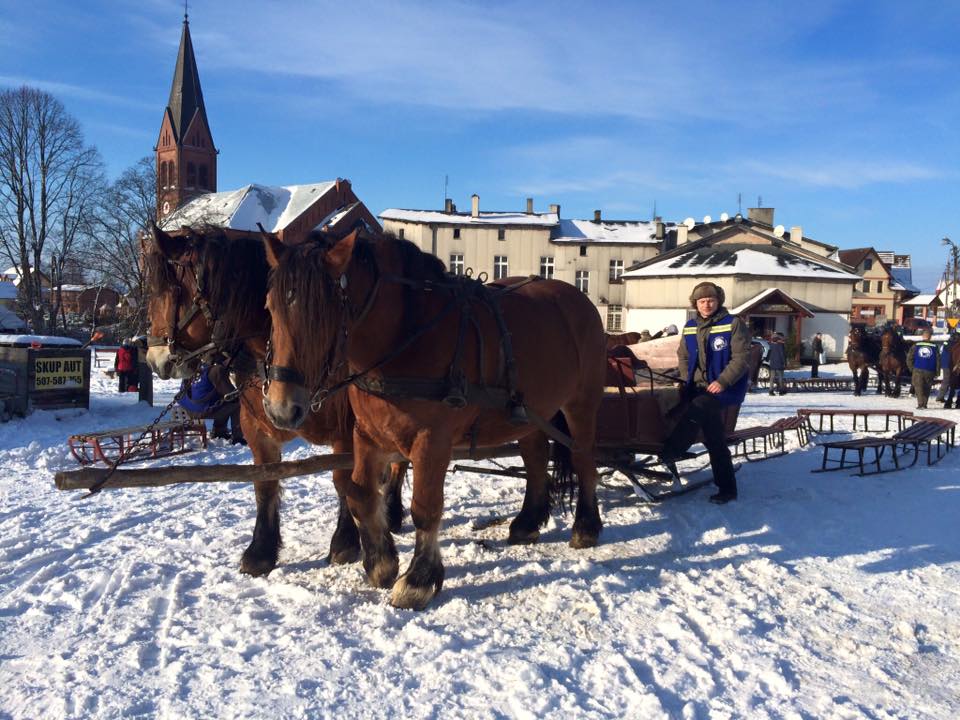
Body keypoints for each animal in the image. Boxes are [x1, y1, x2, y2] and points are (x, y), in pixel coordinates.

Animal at [144, 228, 406, 576]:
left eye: (171, 291)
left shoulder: (348, 429)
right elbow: (265, 483)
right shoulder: (257, 429)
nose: (154, 360)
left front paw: (345, 541)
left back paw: (392, 510)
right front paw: (260, 550)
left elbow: (344, 481)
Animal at [260, 229, 608, 608]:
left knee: (584, 459)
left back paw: (586, 526)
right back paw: (527, 522)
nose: (281, 408)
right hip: (528, 413)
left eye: (321, 314)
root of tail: (579, 300)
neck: (407, 335)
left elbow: (424, 507)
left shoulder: (432, 440)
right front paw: (381, 563)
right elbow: (359, 494)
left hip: (582, 403)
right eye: (270, 307)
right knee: (535, 458)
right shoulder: (367, 434)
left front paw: (418, 580)